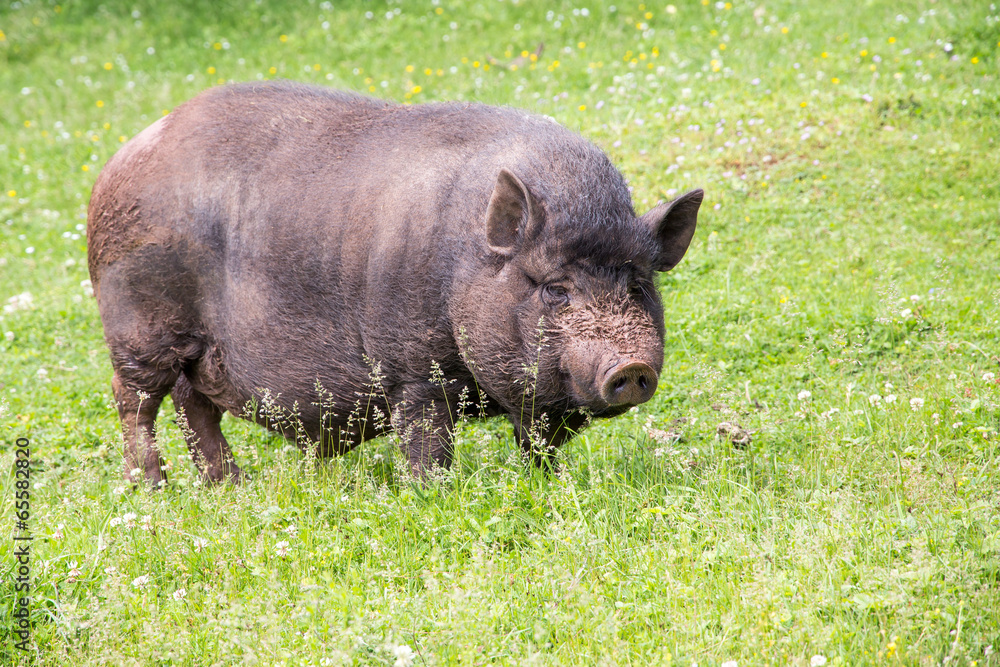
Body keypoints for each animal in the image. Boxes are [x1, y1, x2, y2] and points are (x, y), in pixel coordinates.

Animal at [87, 81, 703, 486]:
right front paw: (434, 495)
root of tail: (122, 156)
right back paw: (153, 490)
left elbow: (538, 445)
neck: (461, 264)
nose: (632, 367)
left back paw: (229, 488)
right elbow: (428, 443)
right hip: (139, 326)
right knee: (133, 398)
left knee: (195, 404)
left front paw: (546, 486)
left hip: (197, 350)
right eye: (555, 288)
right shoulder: (412, 371)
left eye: (638, 285)